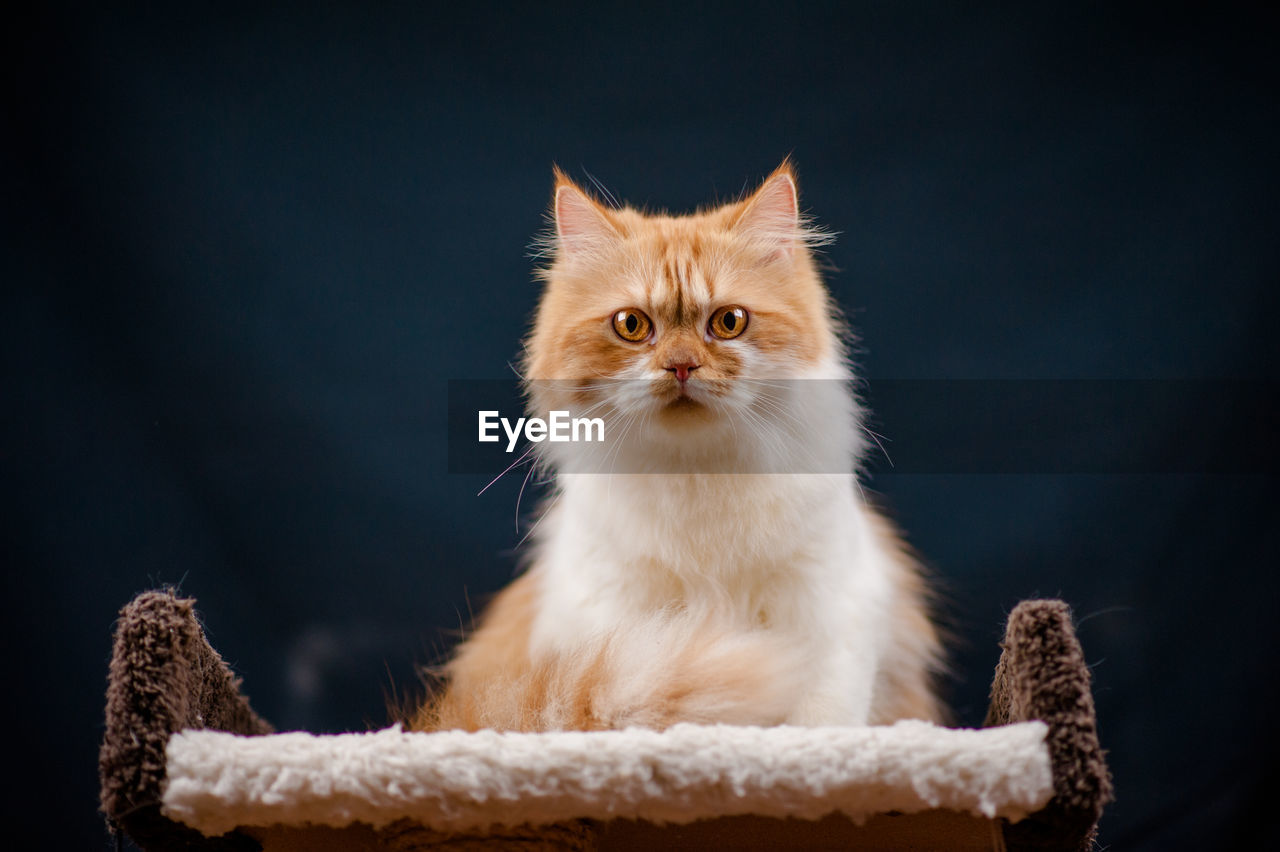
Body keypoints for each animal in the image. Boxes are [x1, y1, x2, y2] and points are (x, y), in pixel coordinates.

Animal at [414, 161, 947, 731]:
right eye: (631, 325)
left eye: (729, 322)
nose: (682, 365)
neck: (697, 475)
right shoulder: (616, 627)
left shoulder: (834, 608)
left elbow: (820, 719)